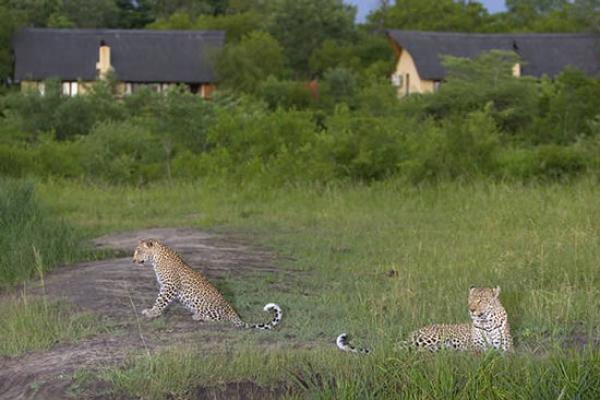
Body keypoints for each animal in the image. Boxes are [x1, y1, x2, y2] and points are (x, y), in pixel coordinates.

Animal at [132, 239, 282, 330]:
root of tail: (233, 312)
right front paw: (152, 312)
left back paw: (198, 316)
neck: (156, 259)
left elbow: (160, 301)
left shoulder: (169, 287)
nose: (133, 260)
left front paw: (152, 312)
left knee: (221, 319)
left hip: (206, 306)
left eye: (139, 250)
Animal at [336, 286, 512, 354]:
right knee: (402, 348)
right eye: (470, 300)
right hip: (428, 339)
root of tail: (412, 332)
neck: (487, 322)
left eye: (481, 300)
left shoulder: (507, 348)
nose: (471, 309)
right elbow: (481, 351)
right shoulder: (475, 347)